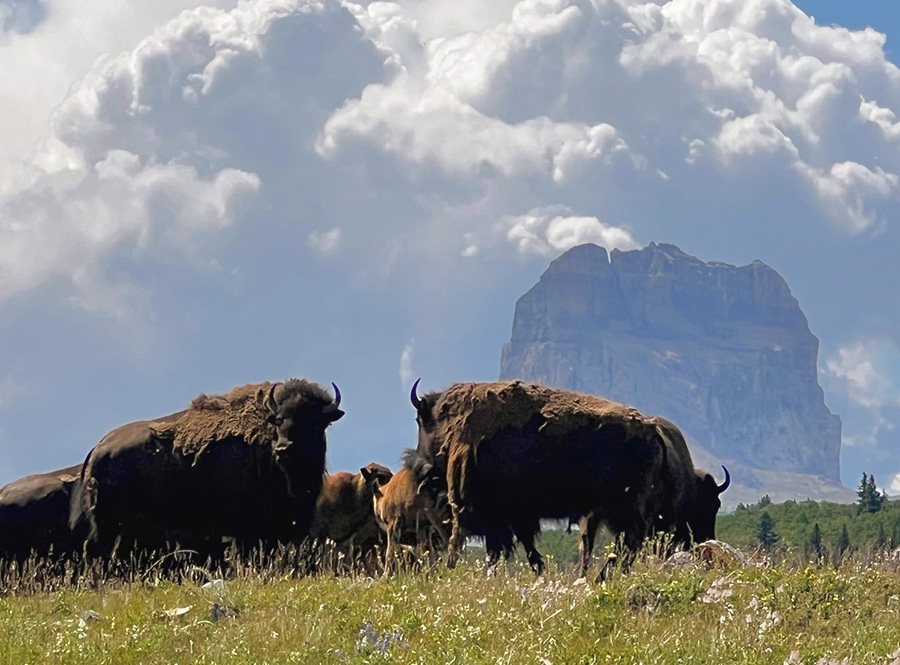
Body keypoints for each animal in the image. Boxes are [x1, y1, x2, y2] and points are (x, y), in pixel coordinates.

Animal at [70, 376, 342, 556]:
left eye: (314, 420)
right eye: (278, 420)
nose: (283, 448)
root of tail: (99, 448)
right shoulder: (248, 529)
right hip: (108, 521)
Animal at [408, 382, 732, 572]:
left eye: (420, 420)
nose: (420, 468)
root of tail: (652, 431)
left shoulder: (499, 516)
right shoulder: (513, 518)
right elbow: (522, 547)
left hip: (625, 511)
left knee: (629, 545)